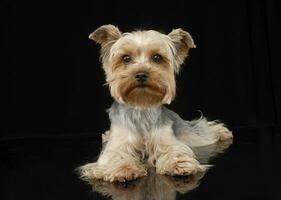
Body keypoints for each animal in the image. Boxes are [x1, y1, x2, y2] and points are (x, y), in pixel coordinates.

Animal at [78, 24, 232, 183]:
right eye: (125, 58)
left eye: (157, 58)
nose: (141, 74)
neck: (141, 106)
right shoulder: (117, 145)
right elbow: (116, 156)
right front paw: (125, 169)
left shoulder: (167, 139)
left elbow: (174, 150)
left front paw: (179, 165)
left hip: (188, 132)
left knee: (201, 128)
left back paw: (222, 132)